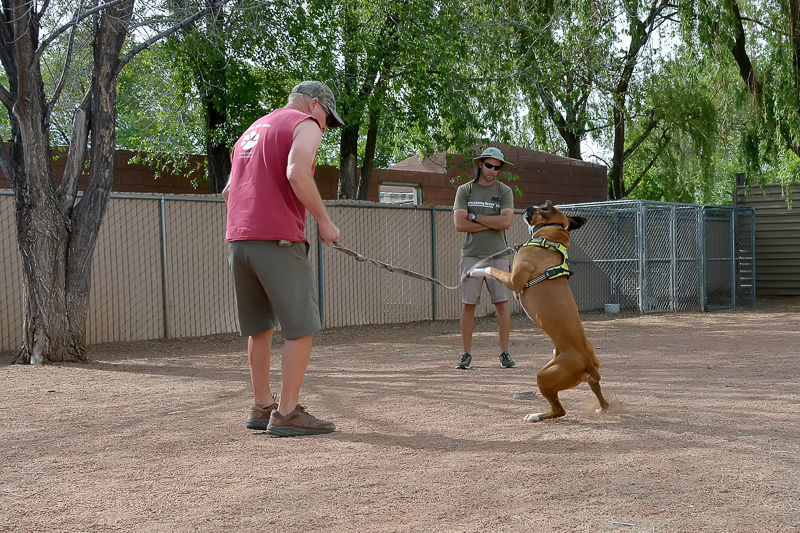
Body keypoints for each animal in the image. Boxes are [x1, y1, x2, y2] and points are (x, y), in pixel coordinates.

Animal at [468, 200, 608, 420]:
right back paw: (600, 408)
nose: (528, 207)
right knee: (602, 399)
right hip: (579, 375)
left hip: (543, 377)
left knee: (559, 410)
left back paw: (534, 416)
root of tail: (587, 362)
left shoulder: (514, 281)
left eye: (540, 207)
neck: (549, 239)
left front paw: (474, 270)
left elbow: (491, 269)